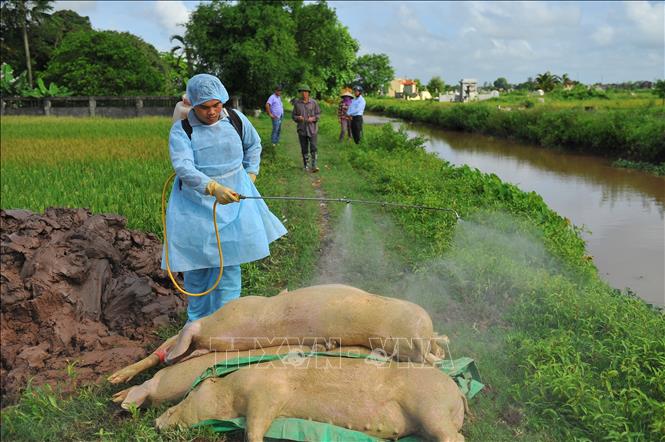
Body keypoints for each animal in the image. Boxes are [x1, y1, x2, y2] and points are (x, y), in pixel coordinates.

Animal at [156, 358, 466, 440]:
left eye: (183, 401)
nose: (157, 422)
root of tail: (459, 394)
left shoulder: (266, 391)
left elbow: (255, 423)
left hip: (430, 404)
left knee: (455, 437)